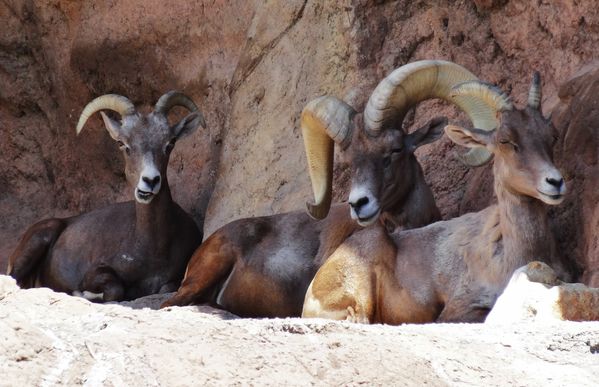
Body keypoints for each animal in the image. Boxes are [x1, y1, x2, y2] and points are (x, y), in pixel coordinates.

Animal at [6, 91, 206, 304]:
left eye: (170, 144)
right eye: (122, 144)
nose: (150, 181)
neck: (154, 250)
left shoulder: (173, 280)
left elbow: (166, 287)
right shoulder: (96, 271)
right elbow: (114, 289)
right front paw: (85, 293)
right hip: (38, 239)